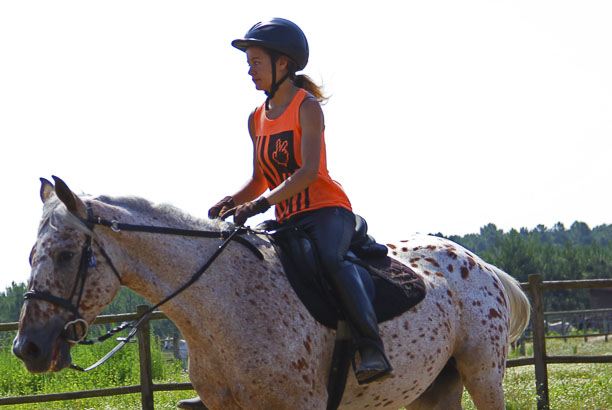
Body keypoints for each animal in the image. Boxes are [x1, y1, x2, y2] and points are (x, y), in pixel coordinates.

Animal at [14, 177, 532, 410]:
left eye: (66, 254)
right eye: (32, 256)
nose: (26, 348)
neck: (225, 304)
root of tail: (480, 264)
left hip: (483, 375)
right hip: (433, 387)